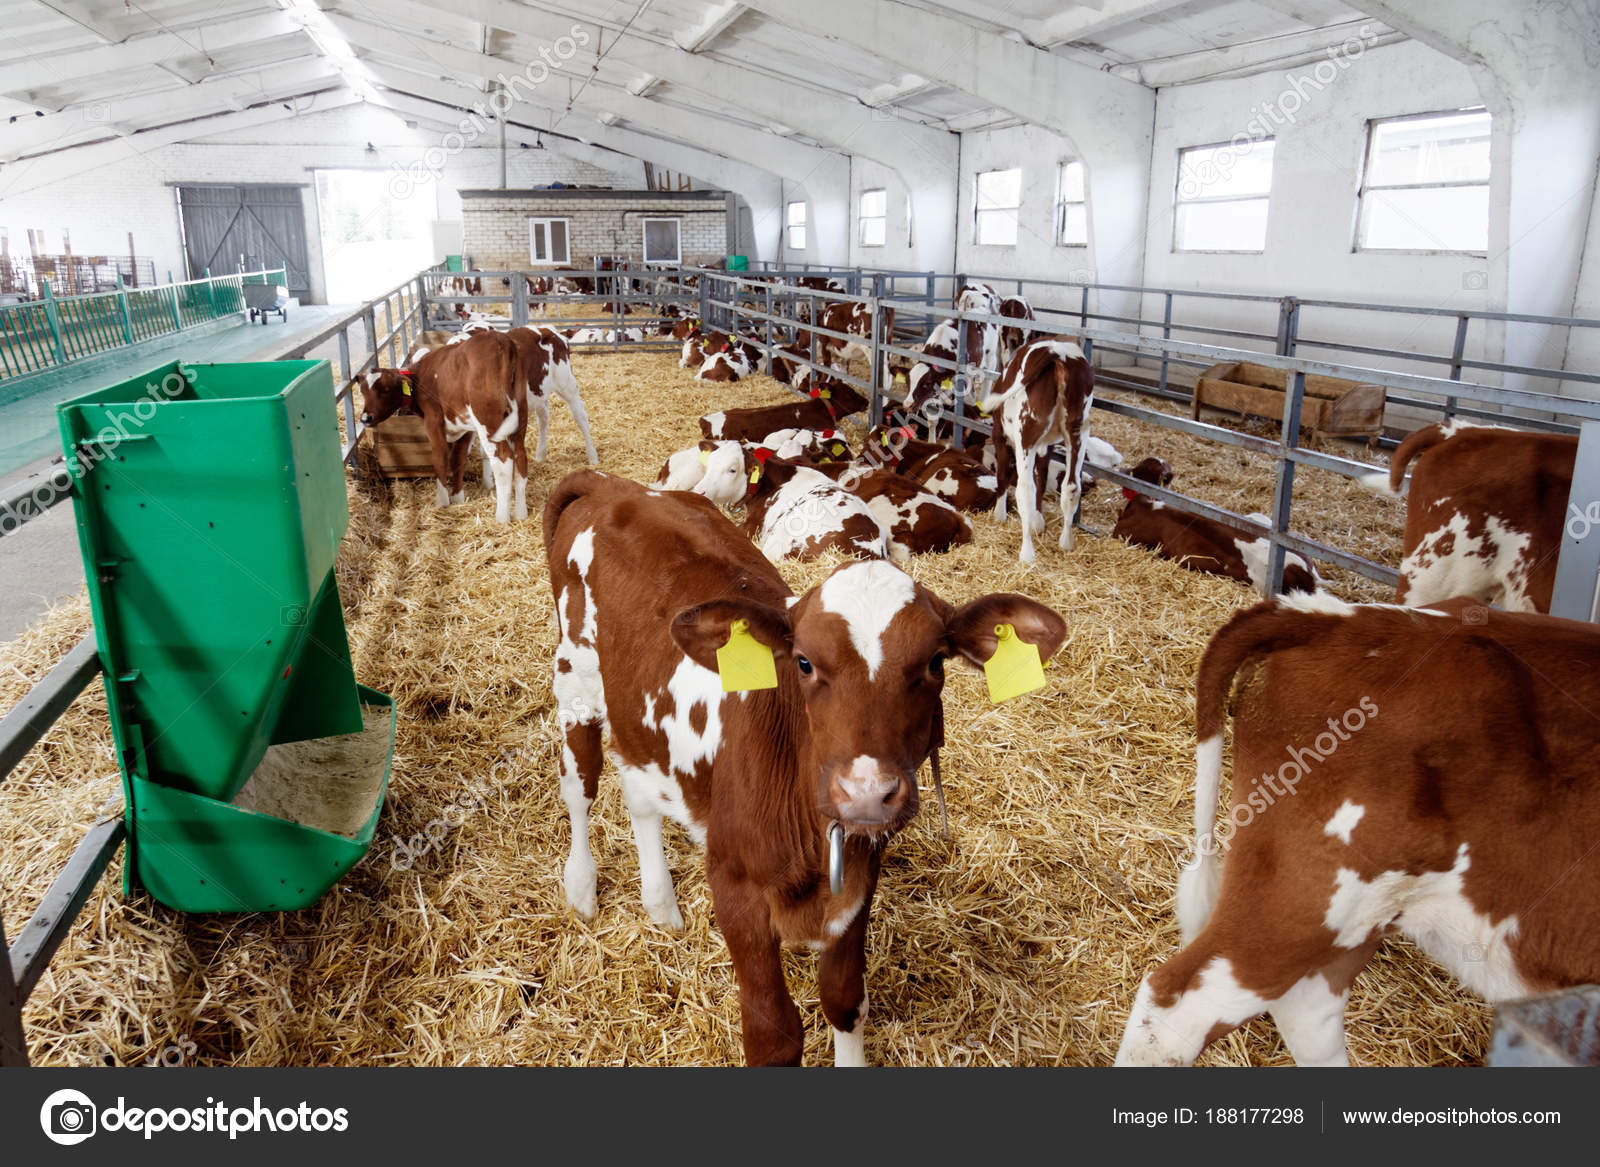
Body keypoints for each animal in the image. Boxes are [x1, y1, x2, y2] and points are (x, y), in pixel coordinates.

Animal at [357, 330, 527, 523]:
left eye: (385, 390)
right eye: (362, 391)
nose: (365, 418)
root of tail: (501, 339)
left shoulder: (433, 420)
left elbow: (439, 456)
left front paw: (442, 502)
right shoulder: (465, 426)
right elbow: (458, 458)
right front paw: (458, 498)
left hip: (489, 422)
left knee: (503, 461)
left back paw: (502, 517)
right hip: (520, 417)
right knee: (521, 457)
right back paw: (521, 513)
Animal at [544, 471, 1067, 1064]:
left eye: (936, 662)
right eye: (804, 662)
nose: (866, 791)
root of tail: (612, 485)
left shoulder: (859, 878)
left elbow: (844, 998)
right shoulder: (735, 884)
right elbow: (772, 1032)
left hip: (637, 712)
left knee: (639, 793)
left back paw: (661, 905)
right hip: (575, 675)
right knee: (580, 784)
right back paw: (581, 889)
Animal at [979, 338, 1096, 563]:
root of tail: (1058, 352)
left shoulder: (1000, 435)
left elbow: (1003, 474)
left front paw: (999, 514)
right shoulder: (1046, 445)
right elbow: (1042, 474)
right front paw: (1038, 521)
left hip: (1026, 434)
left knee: (1025, 490)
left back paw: (1027, 552)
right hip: (1078, 431)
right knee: (1071, 486)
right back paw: (1066, 543)